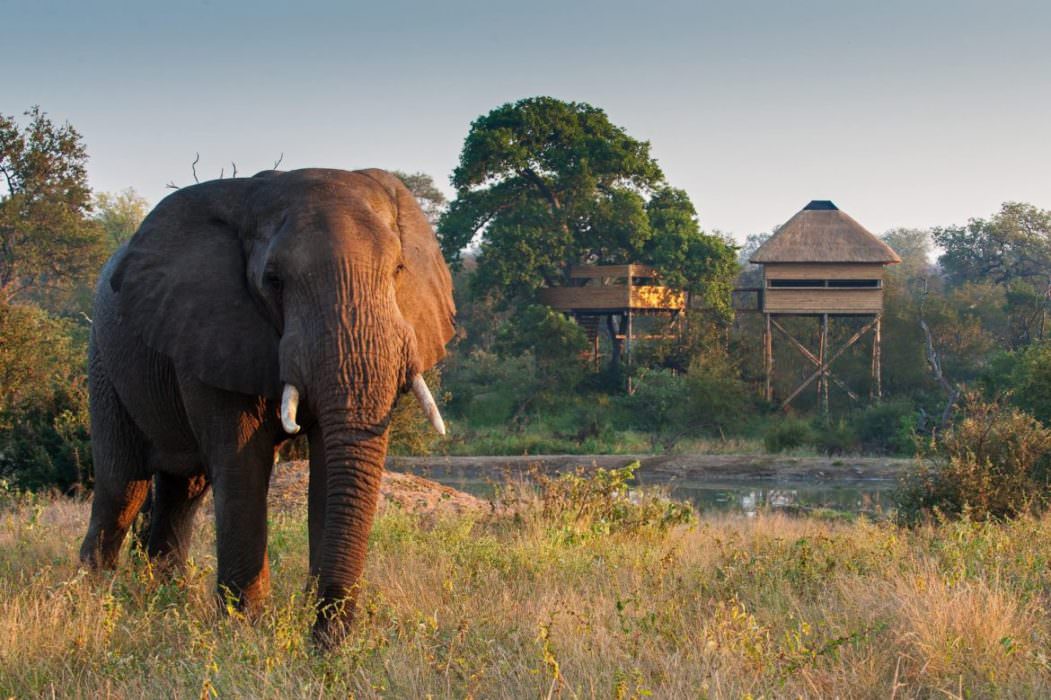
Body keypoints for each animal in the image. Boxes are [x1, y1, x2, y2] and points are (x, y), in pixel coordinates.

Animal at [79, 166, 458, 647]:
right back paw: (93, 599)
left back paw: (164, 602)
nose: (324, 642)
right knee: (122, 488)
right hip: (103, 363)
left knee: (183, 492)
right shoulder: (211, 327)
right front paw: (246, 630)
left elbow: (327, 469)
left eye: (398, 270)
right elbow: (244, 465)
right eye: (273, 280)